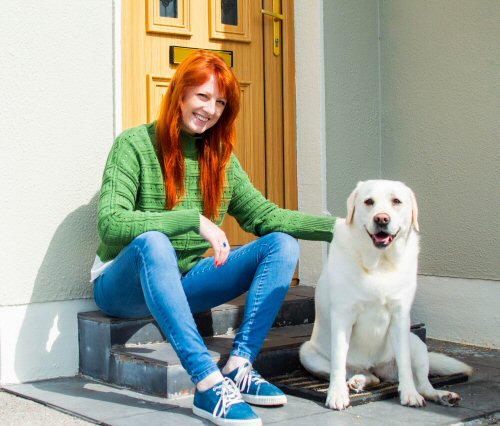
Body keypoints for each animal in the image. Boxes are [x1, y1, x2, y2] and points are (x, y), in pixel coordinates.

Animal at [300, 181, 472, 412]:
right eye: (368, 201)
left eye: (396, 201)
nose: (381, 218)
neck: (379, 263)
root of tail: (374, 366)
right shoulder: (342, 315)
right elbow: (338, 361)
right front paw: (336, 395)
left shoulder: (400, 316)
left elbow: (405, 365)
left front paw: (409, 395)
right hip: (307, 353)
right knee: (363, 375)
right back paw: (356, 381)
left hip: (417, 343)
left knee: (421, 383)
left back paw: (442, 395)